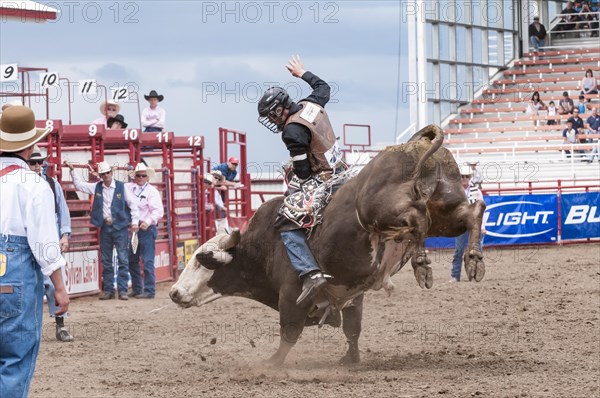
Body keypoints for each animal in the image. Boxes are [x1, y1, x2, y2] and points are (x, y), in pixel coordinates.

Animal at [170, 126, 488, 366]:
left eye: (201, 259)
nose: (173, 293)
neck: (264, 248)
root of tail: (415, 146)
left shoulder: (292, 295)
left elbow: (289, 333)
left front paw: (271, 363)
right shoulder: (352, 295)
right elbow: (352, 328)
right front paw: (350, 358)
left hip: (385, 210)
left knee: (418, 218)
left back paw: (422, 262)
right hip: (446, 209)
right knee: (472, 210)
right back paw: (472, 259)